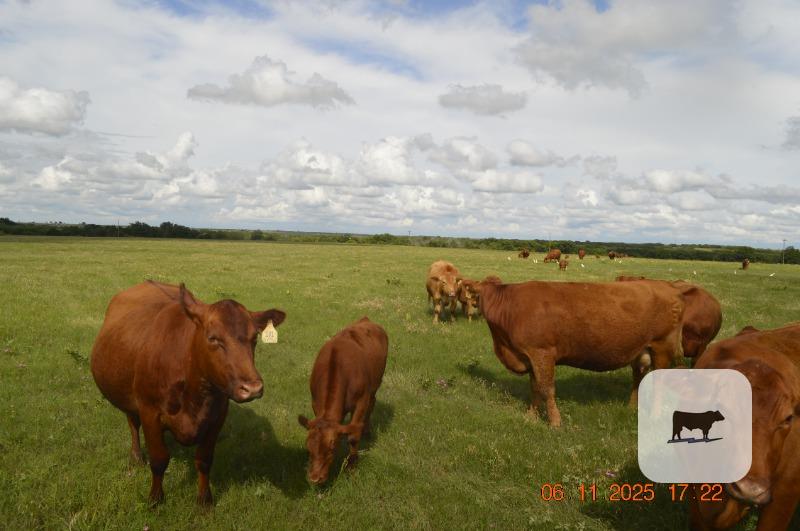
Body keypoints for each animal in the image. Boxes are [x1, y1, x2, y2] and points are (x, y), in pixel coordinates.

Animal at [90, 281, 286, 505]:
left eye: (254, 338)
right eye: (213, 338)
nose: (252, 388)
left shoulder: (217, 417)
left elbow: (204, 460)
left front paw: (204, 499)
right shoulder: (149, 412)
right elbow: (159, 460)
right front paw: (156, 498)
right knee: (133, 422)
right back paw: (137, 456)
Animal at [298, 317, 388, 485]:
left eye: (332, 448)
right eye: (308, 448)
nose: (315, 478)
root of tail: (366, 319)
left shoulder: (361, 401)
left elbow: (353, 436)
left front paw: (351, 467)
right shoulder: (316, 403)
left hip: (375, 384)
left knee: (372, 404)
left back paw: (367, 430)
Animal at [460, 279, 685, 427]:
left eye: (475, 295)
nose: (468, 308)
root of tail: (668, 286)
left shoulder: (542, 353)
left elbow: (547, 389)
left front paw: (555, 422)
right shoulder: (530, 357)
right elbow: (534, 388)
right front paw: (531, 416)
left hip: (662, 346)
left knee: (658, 382)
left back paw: (654, 416)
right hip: (641, 351)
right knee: (638, 378)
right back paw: (631, 408)